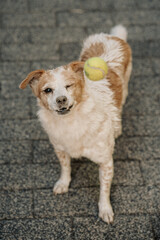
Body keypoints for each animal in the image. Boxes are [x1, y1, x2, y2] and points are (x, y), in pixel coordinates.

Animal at [19, 24, 131, 223]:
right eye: (48, 90)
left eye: (69, 85)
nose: (61, 100)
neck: (71, 122)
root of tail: (111, 36)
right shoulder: (60, 148)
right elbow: (65, 167)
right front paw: (63, 183)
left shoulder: (106, 161)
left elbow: (104, 189)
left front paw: (105, 209)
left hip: (125, 85)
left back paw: (117, 127)